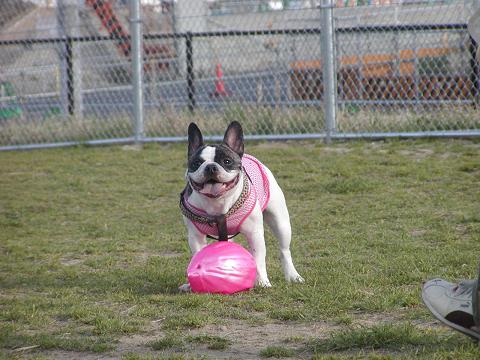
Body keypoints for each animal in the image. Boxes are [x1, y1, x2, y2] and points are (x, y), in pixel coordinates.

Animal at [180, 121, 304, 290]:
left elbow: (258, 260)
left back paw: (292, 275)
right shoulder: (195, 237)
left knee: (285, 251)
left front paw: (262, 282)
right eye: (197, 163)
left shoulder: (255, 233)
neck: (218, 202)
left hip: (281, 223)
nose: (211, 167)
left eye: (227, 161)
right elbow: (197, 256)